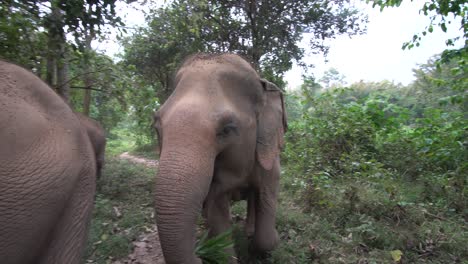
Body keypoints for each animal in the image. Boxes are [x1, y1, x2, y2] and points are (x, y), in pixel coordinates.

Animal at [152, 52, 288, 262]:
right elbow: (216, 207)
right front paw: (218, 247)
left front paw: (267, 243)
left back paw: (249, 231)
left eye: (228, 128)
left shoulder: (269, 158)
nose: (198, 255)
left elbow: (267, 194)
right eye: (157, 125)